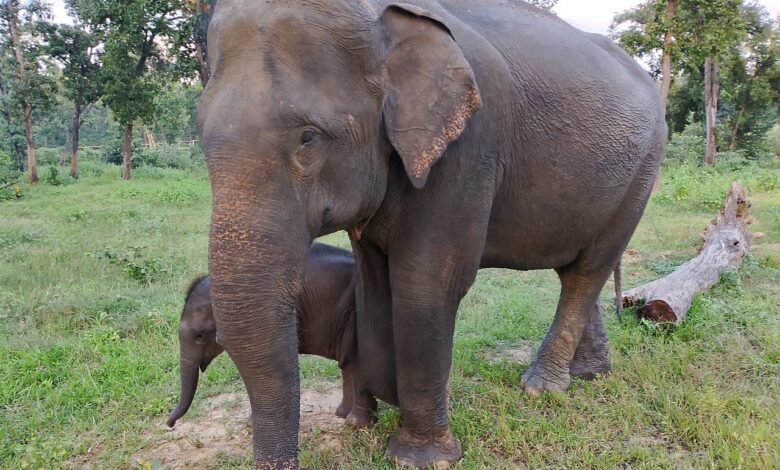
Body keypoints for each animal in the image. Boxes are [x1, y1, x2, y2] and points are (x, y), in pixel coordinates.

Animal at [166, 242, 380, 430]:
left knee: (356, 362)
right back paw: (342, 414)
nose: (170, 425)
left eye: (200, 335)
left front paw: (252, 426)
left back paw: (355, 424)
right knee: (348, 362)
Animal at [198, 1, 668, 468]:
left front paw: (421, 457)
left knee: (587, 271)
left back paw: (540, 388)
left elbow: (426, 283)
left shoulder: (469, 148)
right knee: (575, 267)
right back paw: (589, 374)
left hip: (645, 170)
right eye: (200, 138)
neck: (381, 20)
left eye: (308, 138)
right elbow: (373, 282)